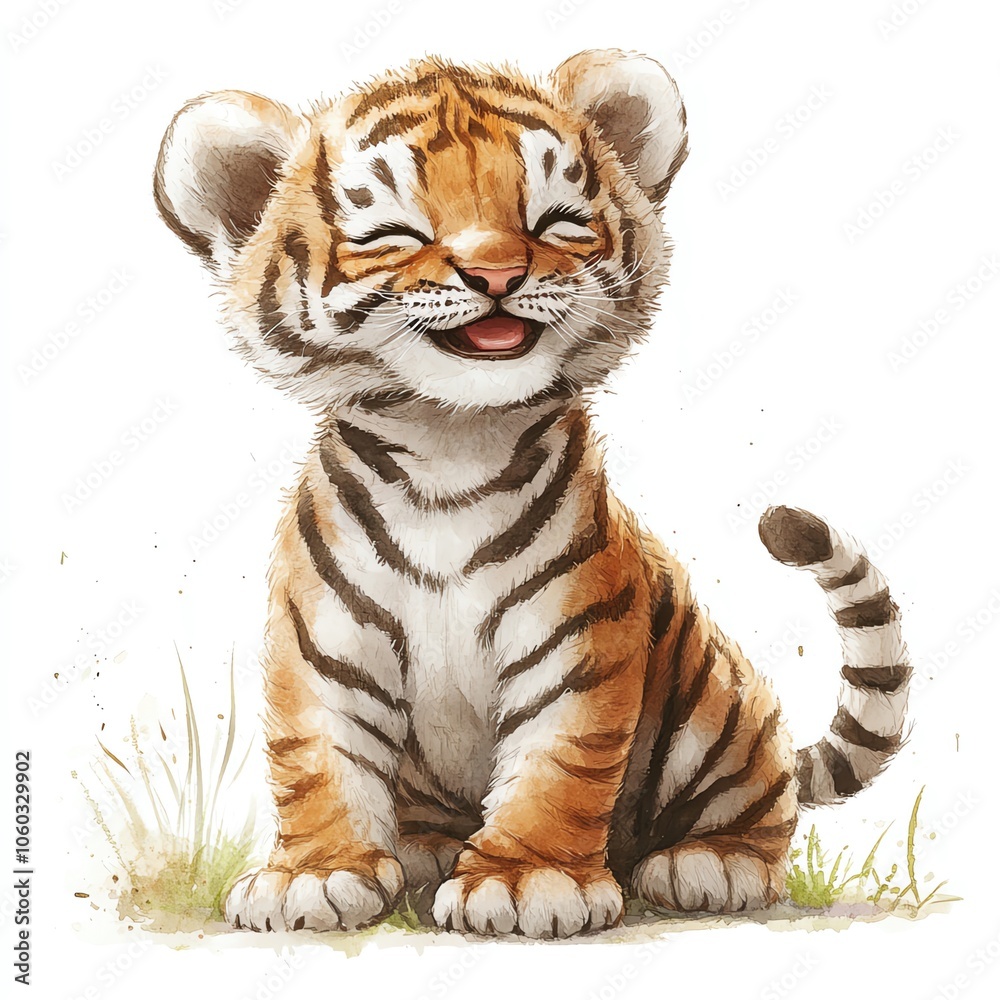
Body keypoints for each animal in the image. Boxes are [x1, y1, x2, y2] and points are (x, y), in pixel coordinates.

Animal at [152, 49, 912, 938]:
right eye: (395, 233)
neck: (448, 445)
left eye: (554, 220)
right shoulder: (323, 645)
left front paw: (526, 883)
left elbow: (561, 759)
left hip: (720, 713)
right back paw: (425, 850)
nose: (495, 272)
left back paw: (710, 864)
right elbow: (316, 759)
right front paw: (313, 876)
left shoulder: (578, 637)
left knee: (757, 804)